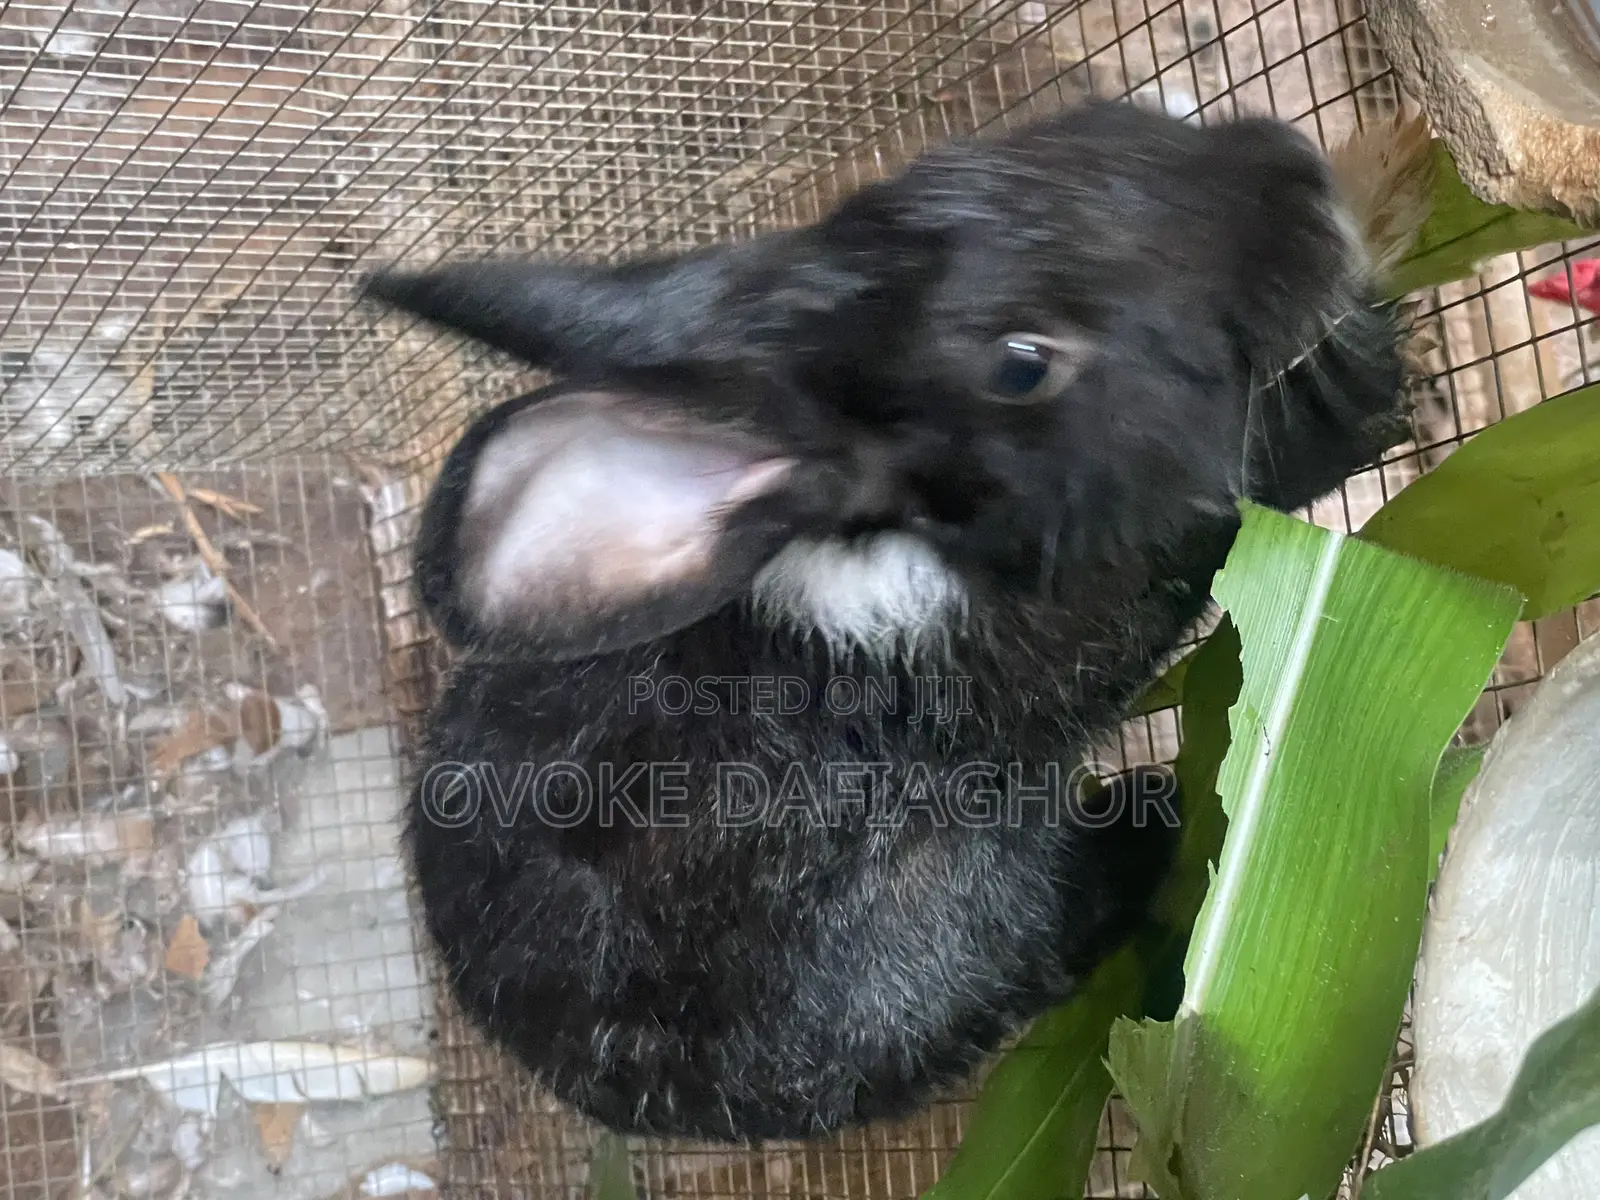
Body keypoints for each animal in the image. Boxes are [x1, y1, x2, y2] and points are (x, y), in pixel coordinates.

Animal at [360, 99, 1420, 1143]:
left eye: (1082, 122)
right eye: (1022, 364)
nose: (1291, 169)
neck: (898, 555)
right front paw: (1374, 382)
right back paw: (1142, 824)